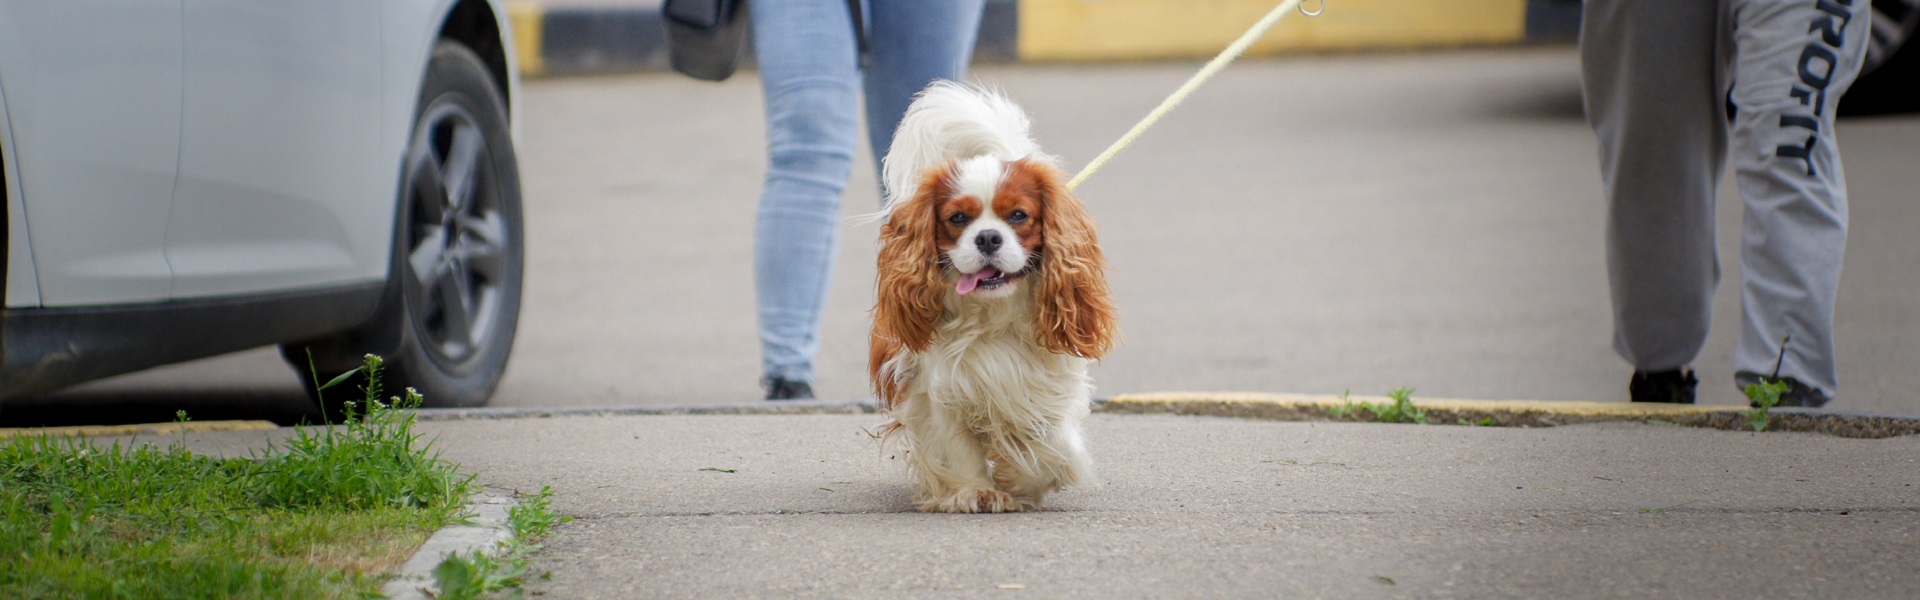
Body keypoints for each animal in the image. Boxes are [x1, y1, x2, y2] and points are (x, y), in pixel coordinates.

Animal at [867, 78, 1121, 511]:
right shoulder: (937, 390)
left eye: (1018, 216)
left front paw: (1022, 482)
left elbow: (1051, 444)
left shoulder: (1044, 384)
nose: (987, 237)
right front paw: (973, 491)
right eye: (957, 218)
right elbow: (955, 447)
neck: (992, 315)